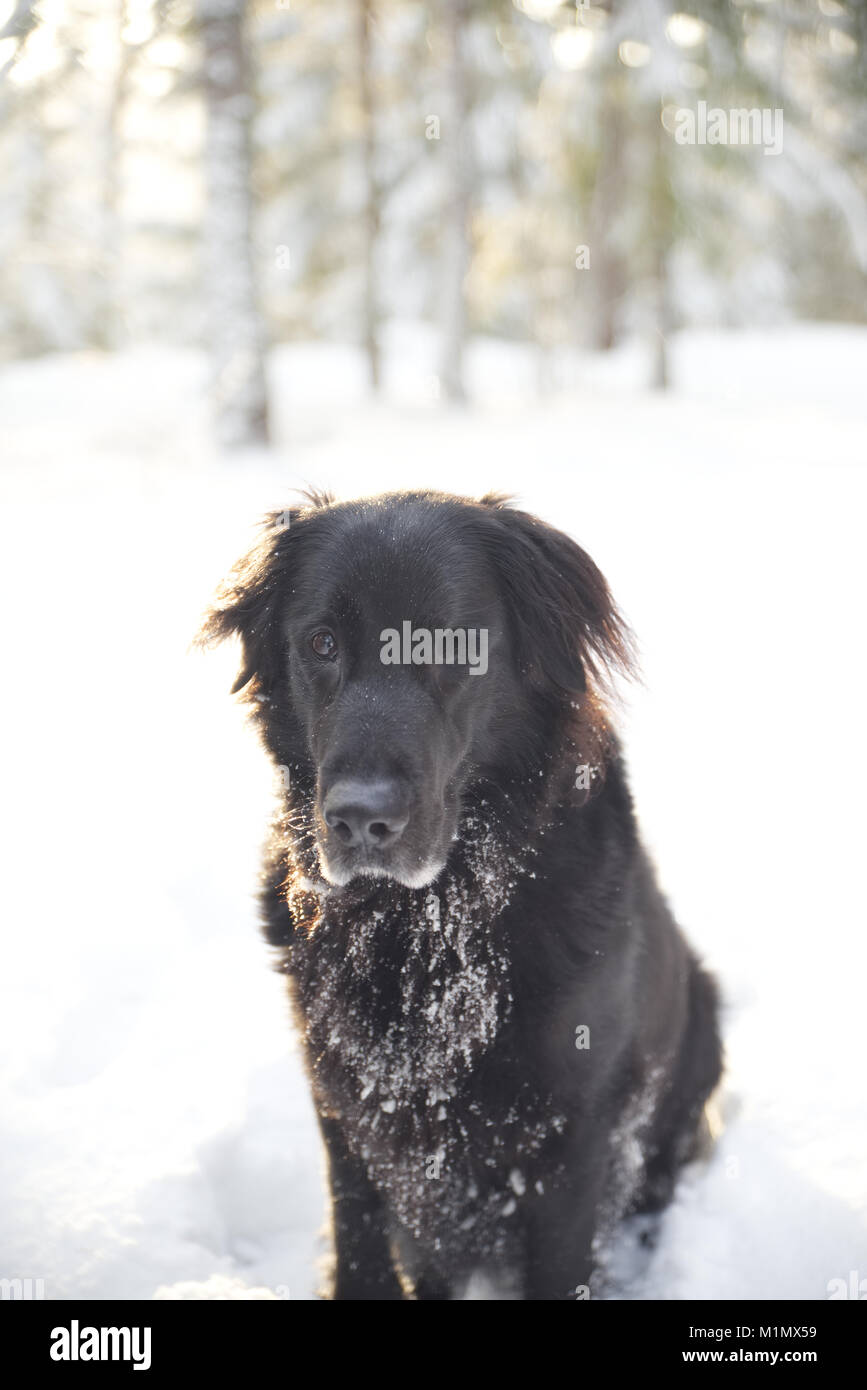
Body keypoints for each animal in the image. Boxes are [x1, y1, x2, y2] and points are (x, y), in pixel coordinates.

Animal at [200, 492, 722, 1301]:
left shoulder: (574, 1133)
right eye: (321, 642)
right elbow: (359, 1248)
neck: (424, 929)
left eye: (450, 647)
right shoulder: (343, 1109)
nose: (359, 817)